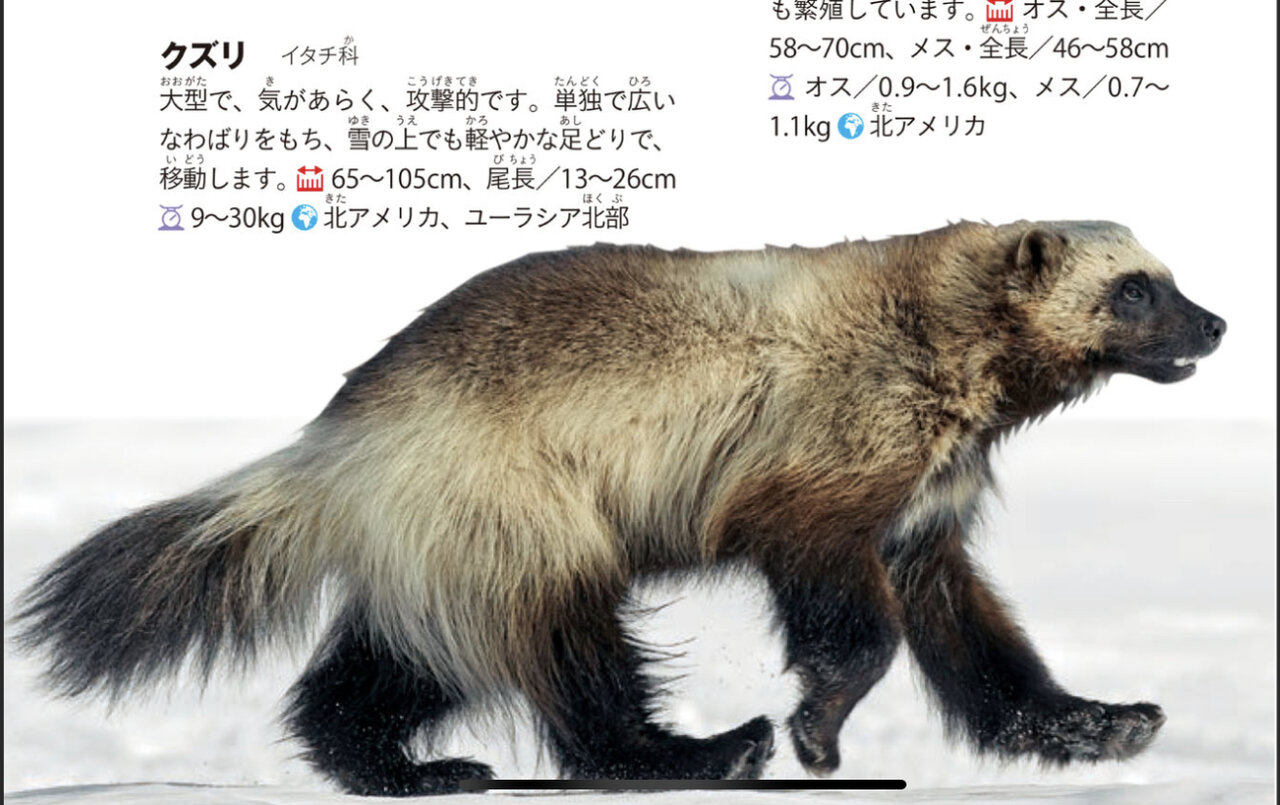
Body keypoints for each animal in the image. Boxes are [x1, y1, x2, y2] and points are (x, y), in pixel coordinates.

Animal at [13, 220, 1225, 795]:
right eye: (1135, 287)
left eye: (1166, 271)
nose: (1214, 322)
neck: (943, 339)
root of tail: (333, 441)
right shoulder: (825, 455)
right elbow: (848, 611)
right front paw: (815, 727)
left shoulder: (925, 502)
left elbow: (968, 633)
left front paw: (1100, 720)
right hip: (519, 507)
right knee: (573, 651)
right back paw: (693, 749)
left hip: (449, 545)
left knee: (385, 667)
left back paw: (407, 767)